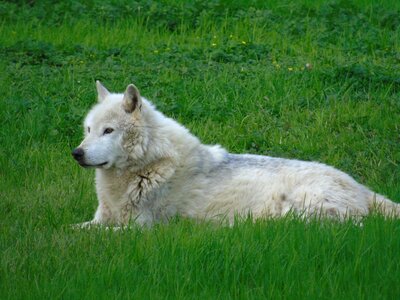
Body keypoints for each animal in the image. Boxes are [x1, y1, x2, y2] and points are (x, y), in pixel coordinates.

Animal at [72, 81, 400, 226]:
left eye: (108, 131)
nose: (76, 153)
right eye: (88, 129)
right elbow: (73, 230)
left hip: (299, 208)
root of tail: (361, 187)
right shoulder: (101, 220)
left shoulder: (139, 229)